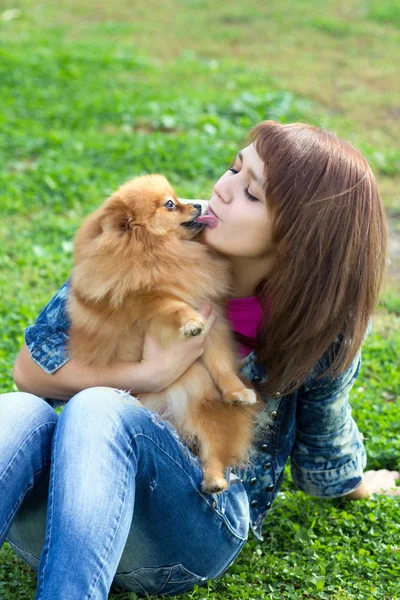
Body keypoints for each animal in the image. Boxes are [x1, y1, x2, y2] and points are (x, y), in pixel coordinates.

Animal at [66, 173, 260, 492]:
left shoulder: (215, 320)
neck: (161, 250)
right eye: (170, 204)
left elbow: (220, 364)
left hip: (202, 406)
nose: (198, 204)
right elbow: (172, 305)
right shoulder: (148, 301)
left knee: (214, 448)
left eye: (177, 198)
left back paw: (215, 478)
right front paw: (190, 322)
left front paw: (237, 390)